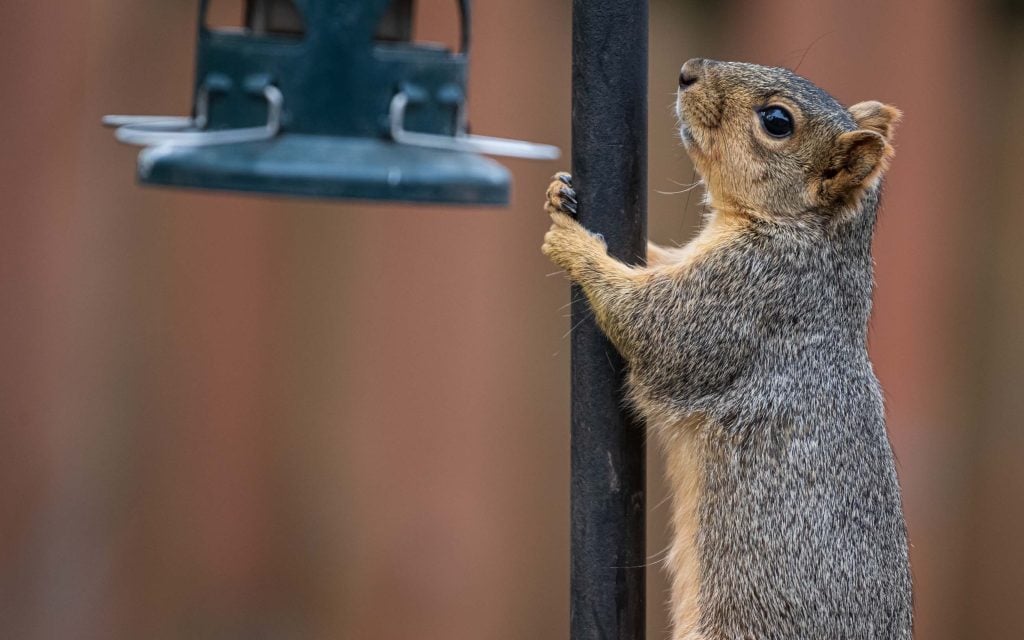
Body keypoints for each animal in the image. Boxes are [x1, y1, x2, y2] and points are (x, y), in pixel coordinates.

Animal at [542, 58, 912, 639]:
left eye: (777, 121)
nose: (689, 72)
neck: (804, 232)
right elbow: (657, 261)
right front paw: (559, 195)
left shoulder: (744, 297)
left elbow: (651, 327)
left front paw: (573, 242)